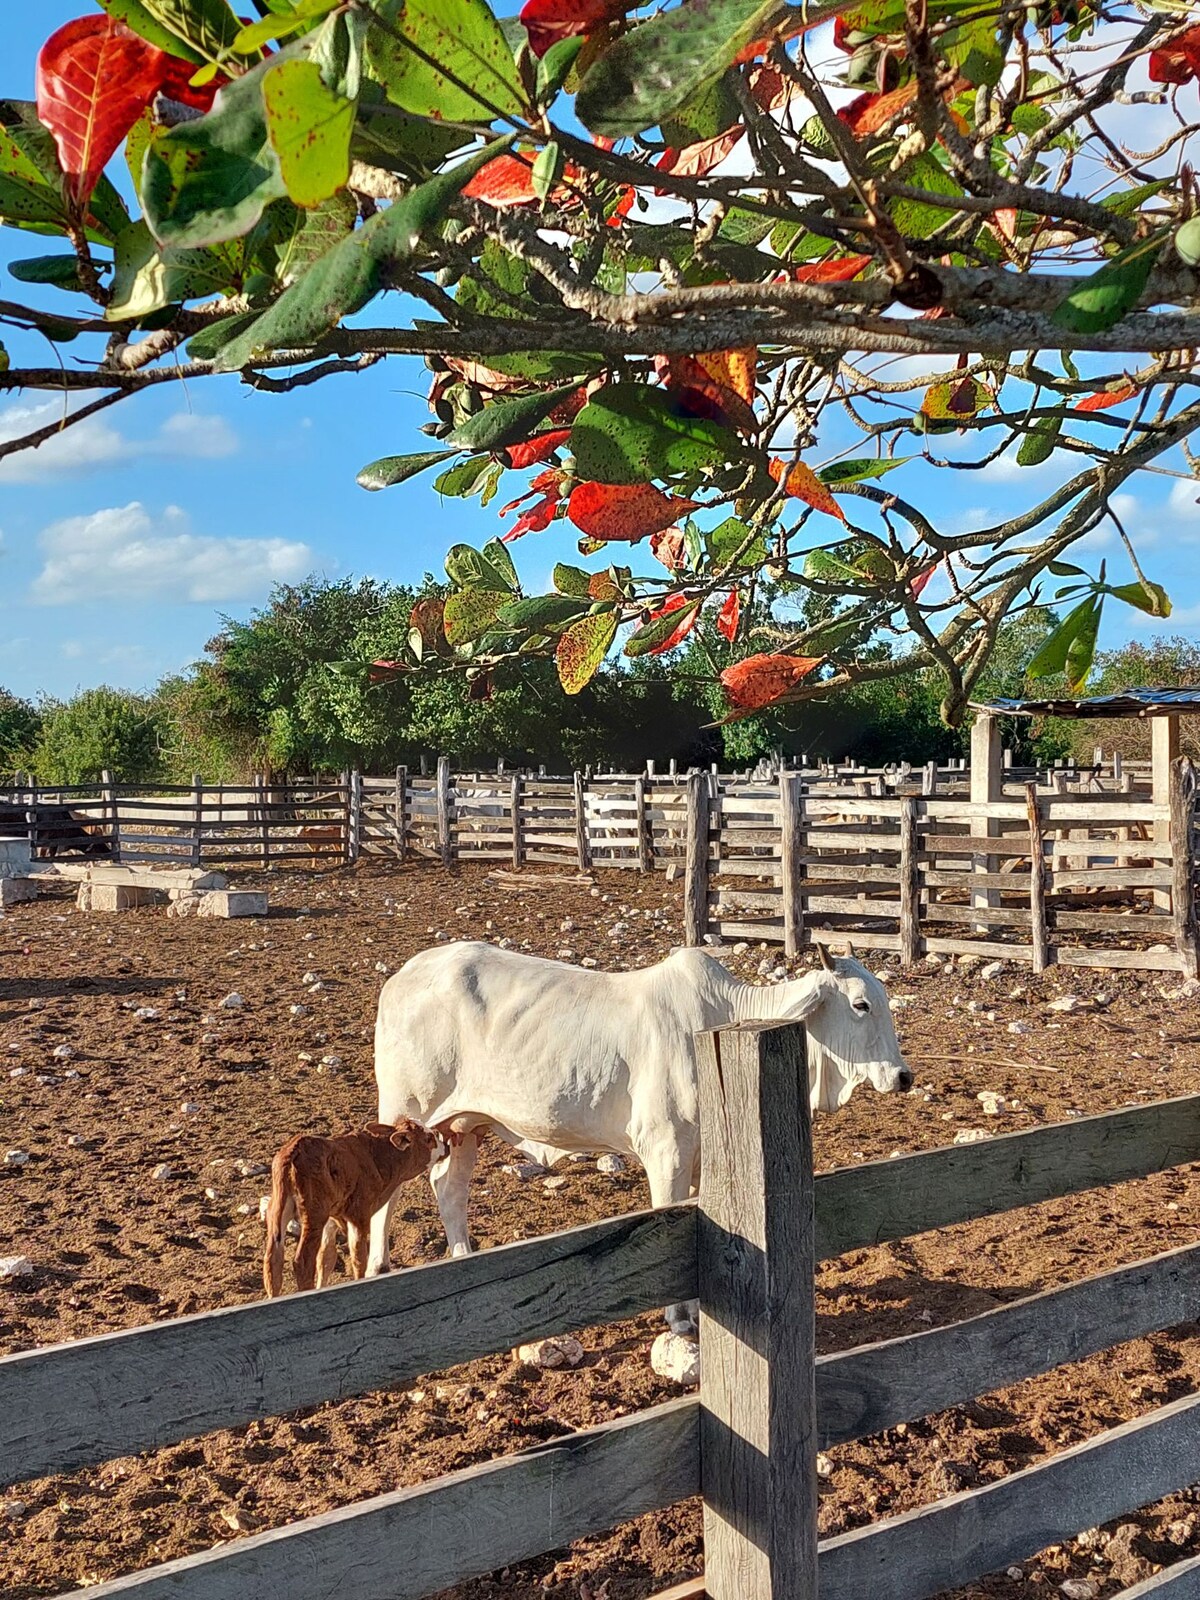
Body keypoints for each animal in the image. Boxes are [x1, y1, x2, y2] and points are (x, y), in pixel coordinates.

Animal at [262, 1120, 438, 1292]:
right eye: (428, 1139)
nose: (441, 1140)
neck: (377, 1157)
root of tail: (296, 1148)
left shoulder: (333, 1217)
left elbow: (326, 1257)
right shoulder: (358, 1216)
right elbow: (359, 1258)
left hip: (278, 1209)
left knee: (273, 1259)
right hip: (314, 1215)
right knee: (303, 1261)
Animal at [366, 934, 908, 1324]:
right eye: (861, 1004)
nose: (904, 1077)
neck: (724, 1017)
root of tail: (403, 976)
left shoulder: (701, 1158)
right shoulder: (666, 1152)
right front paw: (679, 1318)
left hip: (466, 1124)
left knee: (449, 1189)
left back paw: (461, 1256)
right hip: (404, 1110)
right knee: (388, 1193)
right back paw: (377, 1266)